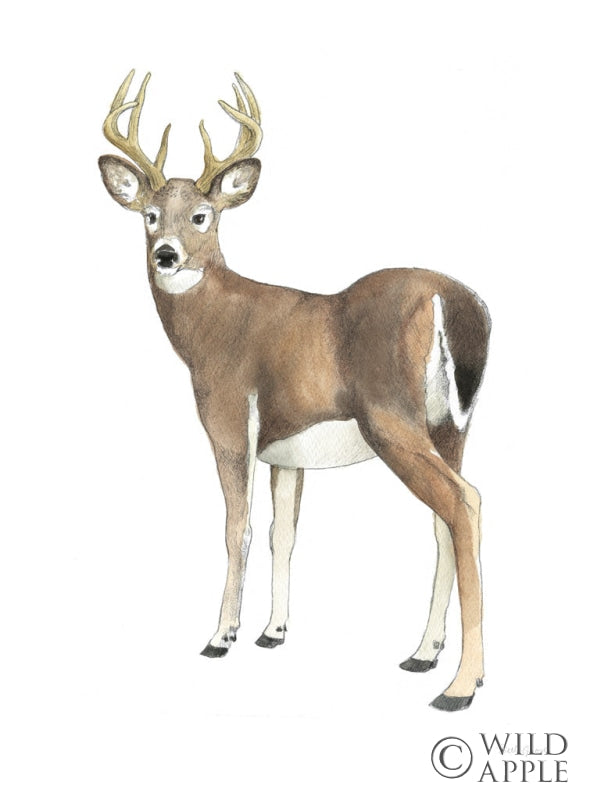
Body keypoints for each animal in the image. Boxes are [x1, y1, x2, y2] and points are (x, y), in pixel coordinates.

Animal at [99, 71, 491, 712]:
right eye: (150, 214)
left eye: (202, 215)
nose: (167, 255)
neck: (214, 327)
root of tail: (452, 300)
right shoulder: (287, 453)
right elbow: (283, 533)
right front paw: (273, 631)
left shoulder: (229, 422)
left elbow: (237, 528)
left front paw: (221, 635)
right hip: (452, 424)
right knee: (445, 517)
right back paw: (424, 654)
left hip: (391, 419)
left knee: (464, 502)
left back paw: (460, 686)